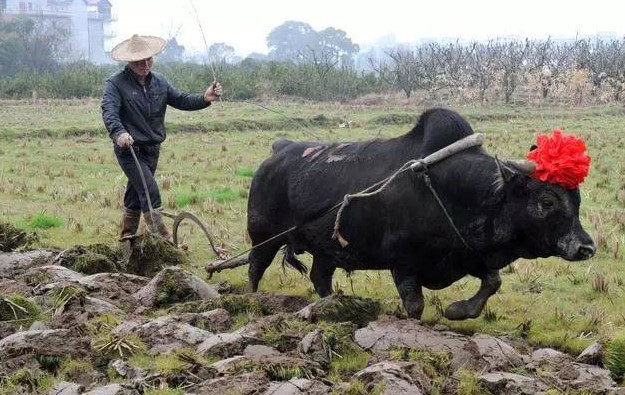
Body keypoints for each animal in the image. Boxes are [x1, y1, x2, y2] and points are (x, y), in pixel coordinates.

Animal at [245, 106, 596, 320]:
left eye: (577, 198)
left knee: (320, 278)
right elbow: (415, 306)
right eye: (547, 200)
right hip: (263, 236)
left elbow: (492, 283)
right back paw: (249, 302)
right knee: (255, 269)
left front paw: (457, 310)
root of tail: (278, 150)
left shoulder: (472, 256)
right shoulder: (404, 265)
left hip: (326, 249)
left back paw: (330, 305)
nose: (586, 248)